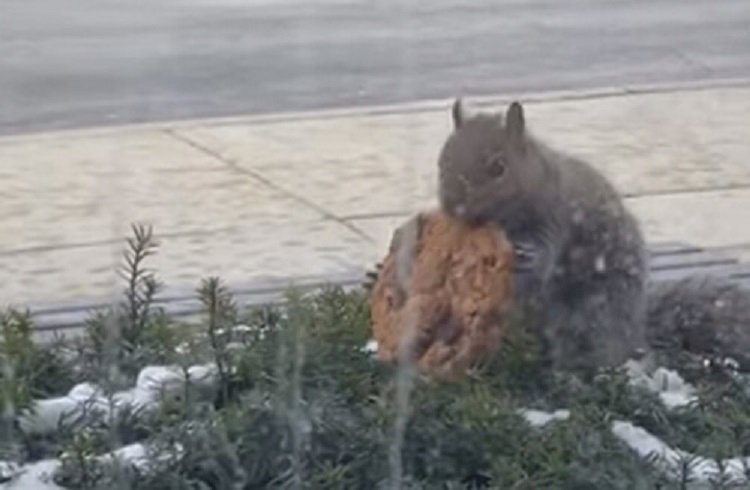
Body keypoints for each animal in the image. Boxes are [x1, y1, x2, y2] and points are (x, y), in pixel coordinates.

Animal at [368, 97, 750, 374]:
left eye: (499, 167)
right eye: (441, 161)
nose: (454, 206)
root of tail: (635, 330)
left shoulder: (555, 218)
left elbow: (543, 259)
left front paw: (529, 257)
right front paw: (382, 271)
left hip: (596, 310)